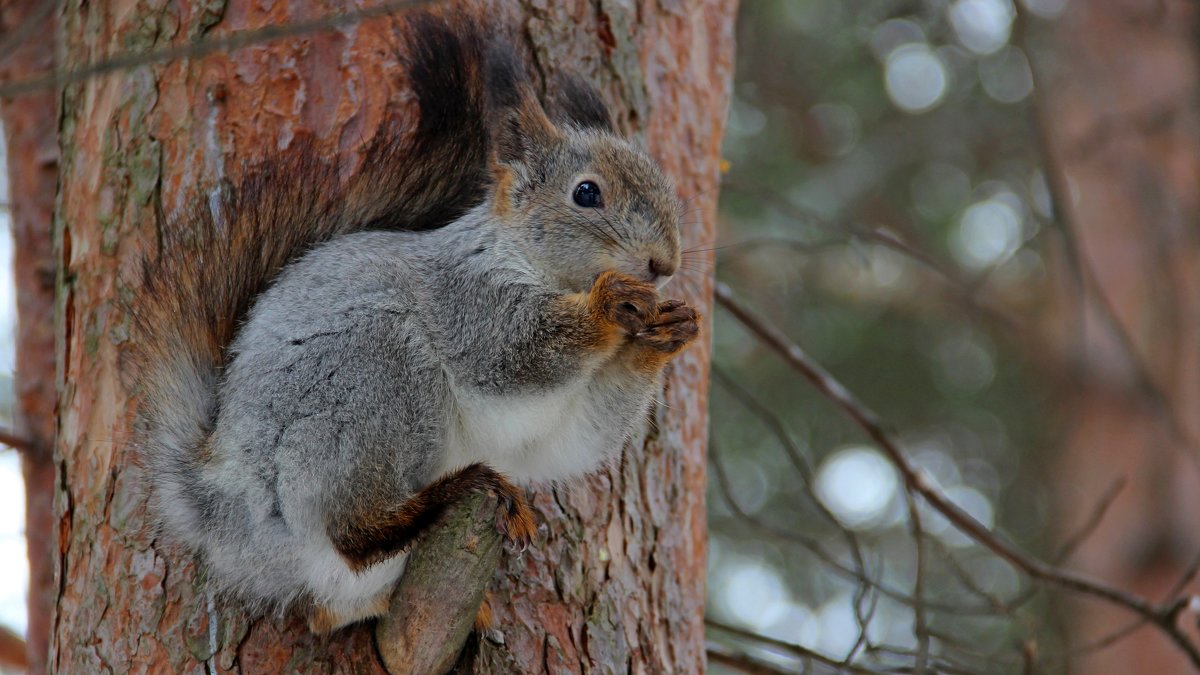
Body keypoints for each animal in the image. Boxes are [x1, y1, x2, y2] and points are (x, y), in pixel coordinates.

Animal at [130, 9, 700, 629]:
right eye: (587, 193)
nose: (664, 265)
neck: (537, 265)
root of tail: (224, 504)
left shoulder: (562, 422)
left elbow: (579, 436)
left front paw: (670, 332)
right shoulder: (467, 299)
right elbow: (516, 352)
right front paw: (610, 301)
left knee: (336, 605)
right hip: (372, 376)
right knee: (351, 532)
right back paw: (444, 496)